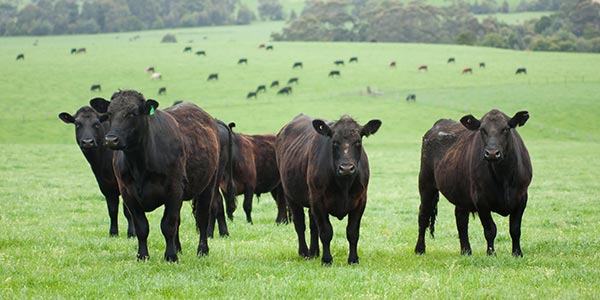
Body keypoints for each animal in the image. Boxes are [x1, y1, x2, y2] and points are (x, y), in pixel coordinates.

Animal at [57, 106, 135, 238]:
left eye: (97, 124)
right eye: (77, 124)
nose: (88, 142)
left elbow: (128, 211)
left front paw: (131, 234)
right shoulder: (105, 185)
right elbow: (112, 210)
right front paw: (113, 233)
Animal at [89, 89, 220, 262]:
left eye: (132, 113)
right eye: (109, 113)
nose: (111, 140)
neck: (139, 164)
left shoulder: (174, 189)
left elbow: (168, 225)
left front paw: (170, 256)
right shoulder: (128, 193)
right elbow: (142, 227)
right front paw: (142, 255)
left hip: (208, 186)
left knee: (202, 218)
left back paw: (202, 251)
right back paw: (179, 248)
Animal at [276, 113, 380, 264]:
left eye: (358, 142)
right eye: (334, 142)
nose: (346, 168)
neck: (344, 184)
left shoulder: (360, 200)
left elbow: (353, 232)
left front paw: (353, 259)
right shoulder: (318, 200)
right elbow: (326, 231)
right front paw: (327, 260)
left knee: (313, 225)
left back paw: (314, 252)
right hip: (291, 196)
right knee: (300, 224)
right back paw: (304, 252)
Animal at [414, 109, 532, 256]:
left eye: (505, 129)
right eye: (482, 130)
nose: (492, 153)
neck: (503, 176)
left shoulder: (522, 197)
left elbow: (515, 229)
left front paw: (517, 253)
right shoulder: (481, 199)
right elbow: (490, 229)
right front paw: (491, 254)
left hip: (460, 192)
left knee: (461, 219)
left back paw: (466, 251)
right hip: (426, 183)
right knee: (423, 215)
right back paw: (420, 249)